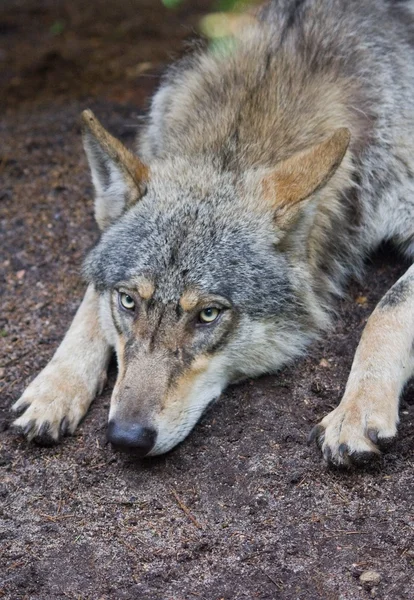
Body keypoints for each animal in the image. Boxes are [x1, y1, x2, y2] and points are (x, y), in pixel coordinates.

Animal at [9, 0, 414, 464]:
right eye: (128, 301)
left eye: (208, 314)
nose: (126, 437)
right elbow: (89, 306)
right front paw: (54, 388)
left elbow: (387, 308)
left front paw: (357, 410)